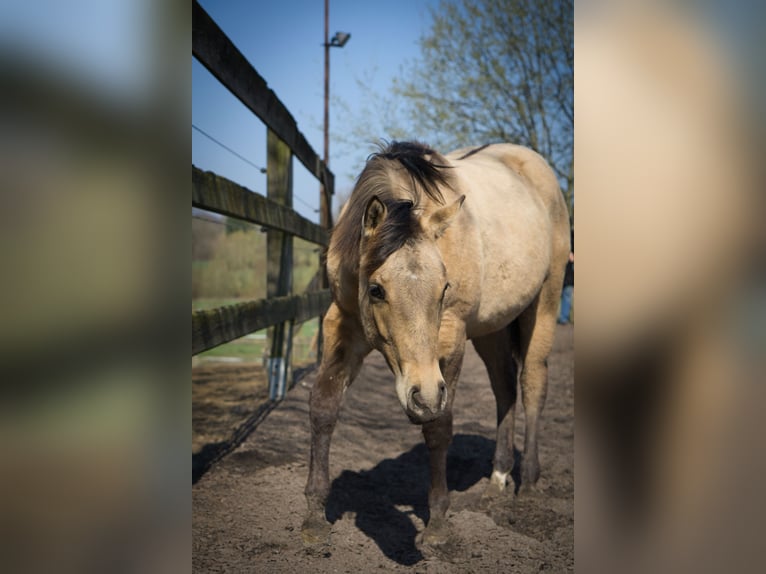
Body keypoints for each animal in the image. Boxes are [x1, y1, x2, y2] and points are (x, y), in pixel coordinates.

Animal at [301, 141, 570, 547]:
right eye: (376, 290)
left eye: (444, 289)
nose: (421, 393)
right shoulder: (343, 323)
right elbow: (323, 406)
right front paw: (315, 513)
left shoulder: (450, 337)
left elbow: (439, 426)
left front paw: (439, 522)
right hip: (492, 329)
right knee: (505, 389)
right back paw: (498, 478)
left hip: (545, 305)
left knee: (532, 386)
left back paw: (528, 482)